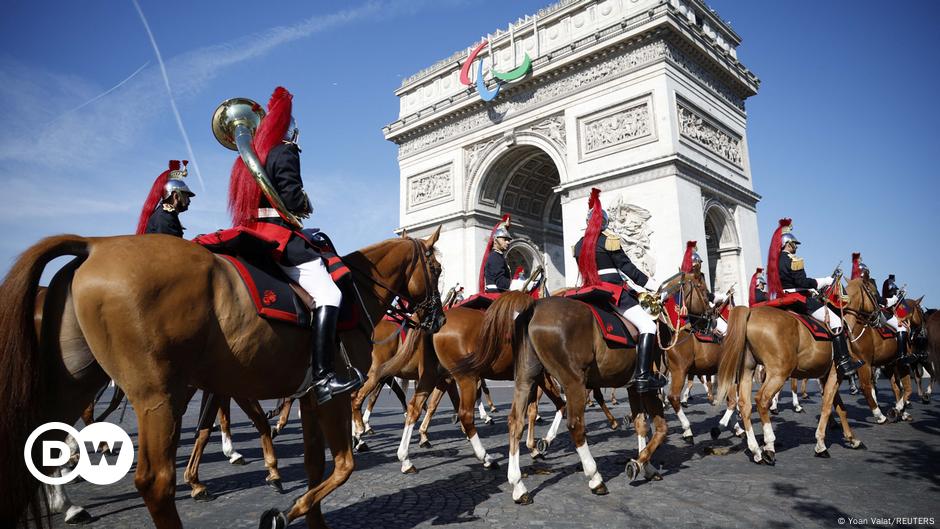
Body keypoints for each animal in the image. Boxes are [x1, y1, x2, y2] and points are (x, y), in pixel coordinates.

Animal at [0, 230, 444, 528]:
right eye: (437, 268)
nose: (438, 319)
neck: (354, 293)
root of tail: (95, 244)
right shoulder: (329, 395)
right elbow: (343, 466)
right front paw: (284, 509)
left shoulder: (306, 396)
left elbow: (315, 465)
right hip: (158, 396)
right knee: (155, 482)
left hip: (73, 386)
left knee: (32, 449)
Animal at [716, 284, 872, 462]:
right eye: (872, 290)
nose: (878, 316)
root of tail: (751, 314)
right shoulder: (835, 373)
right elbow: (827, 406)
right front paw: (821, 444)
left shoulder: (826, 376)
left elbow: (840, 407)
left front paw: (852, 439)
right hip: (779, 373)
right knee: (762, 400)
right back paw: (769, 446)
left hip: (748, 370)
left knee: (744, 404)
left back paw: (755, 450)